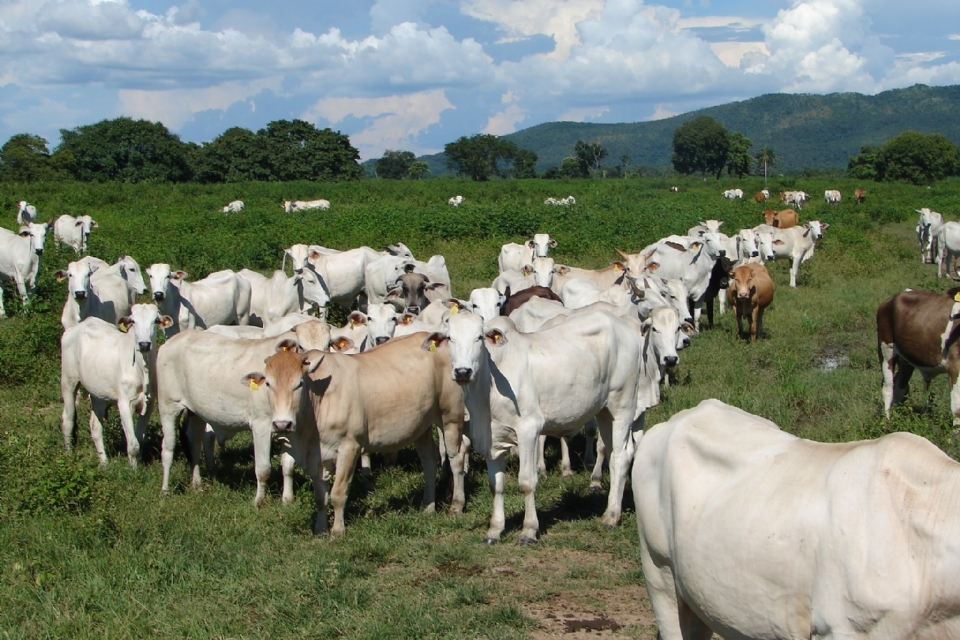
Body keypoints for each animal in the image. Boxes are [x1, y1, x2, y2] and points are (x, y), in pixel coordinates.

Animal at [61, 304, 172, 464]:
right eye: (133, 321)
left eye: (155, 320)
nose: (144, 344)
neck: (141, 369)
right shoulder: (125, 403)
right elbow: (133, 444)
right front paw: (133, 469)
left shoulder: (149, 403)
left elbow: (139, 440)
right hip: (68, 382)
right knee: (68, 419)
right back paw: (69, 455)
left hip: (98, 395)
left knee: (95, 427)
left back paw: (104, 462)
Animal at [242, 330, 464, 536]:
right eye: (268, 384)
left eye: (299, 383)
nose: (282, 424)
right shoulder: (315, 457)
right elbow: (320, 497)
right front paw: (320, 528)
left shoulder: (349, 447)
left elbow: (338, 493)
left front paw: (338, 530)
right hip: (421, 425)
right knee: (429, 460)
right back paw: (428, 506)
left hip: (451, 416)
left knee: (456, 458)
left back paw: (456, 506)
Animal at [430, 312, 640, 544]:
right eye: (450, 338)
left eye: (479, 337)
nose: (463, 372)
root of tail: (623, 325)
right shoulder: (491, 439)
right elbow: (496, 485)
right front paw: (495, 529)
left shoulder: (528, 430)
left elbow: (526, 482)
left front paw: (529, 531)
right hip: (604, 411)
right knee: (611, 453)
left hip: (623, 405)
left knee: (621, 456)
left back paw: (612, 516)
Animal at [880, 288, 960, 422]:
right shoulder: (954, 365)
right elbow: (957, 409)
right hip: (886, 349)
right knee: (888, 387)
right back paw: (888, 422)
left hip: (906, 359)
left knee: (900, 386)